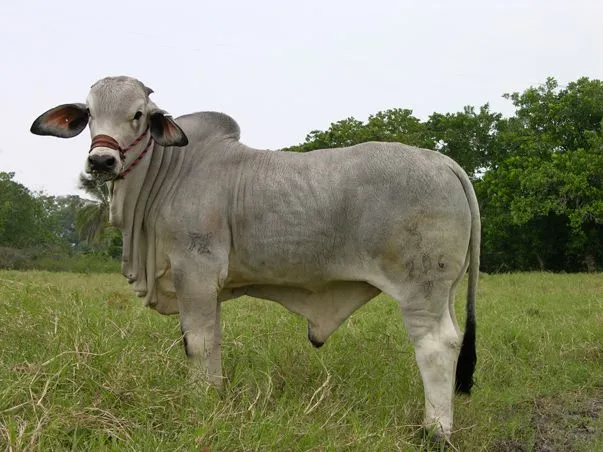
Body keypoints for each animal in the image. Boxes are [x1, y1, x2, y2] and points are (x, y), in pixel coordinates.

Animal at [30, 76, 482, 440]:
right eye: (89, 113)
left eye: (138, 114)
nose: (102, 161)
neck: (171, 170)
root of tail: (445, 162)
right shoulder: (205, 286)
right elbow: (211, 341)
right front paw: (214, 395)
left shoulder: (195, 272)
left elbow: (196, 343)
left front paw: (198, 402)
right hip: (444, 290)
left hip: (420, 287)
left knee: (436, 345)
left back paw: (435, 431)